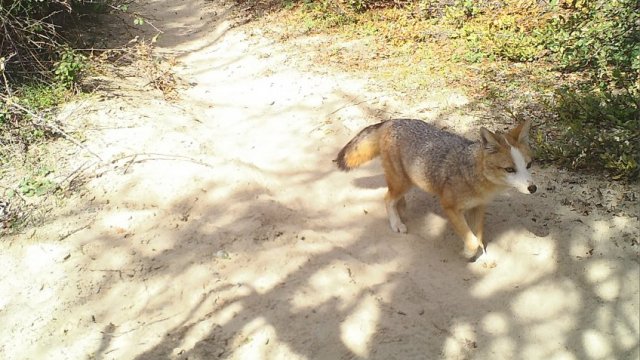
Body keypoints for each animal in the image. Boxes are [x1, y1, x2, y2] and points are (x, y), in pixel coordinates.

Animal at [338, 119, 536, 258]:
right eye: (510, 169)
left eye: (529, 165)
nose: (533, 188)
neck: (473, 173)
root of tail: (392, 121)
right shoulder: (450, 207)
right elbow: (471, 240)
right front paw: (468, 253)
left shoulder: (478, 207)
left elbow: (478, 237)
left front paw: (482, 256)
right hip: (403, 183)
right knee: (387, 199)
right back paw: (396, 223)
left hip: (407, 181)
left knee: (393, 197)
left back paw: (401, 209)